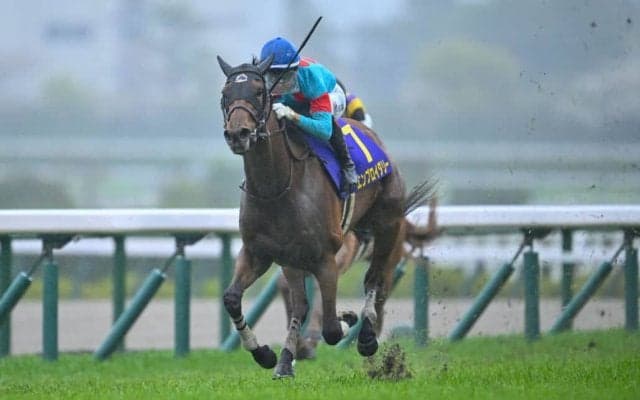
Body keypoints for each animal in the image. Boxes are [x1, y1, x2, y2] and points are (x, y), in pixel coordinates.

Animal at [217, 54, 434, 378]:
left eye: (258, 92)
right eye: (225, 94)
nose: (237, 134)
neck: (276, 187)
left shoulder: (326, 258)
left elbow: (331, 327)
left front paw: (347, 321)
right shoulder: (261, 253)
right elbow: (232, 299)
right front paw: (266, 354)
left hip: (388, 227)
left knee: (374, 281)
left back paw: (366, 336)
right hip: (293, 260)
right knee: (300, 303)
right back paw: (286, 360)